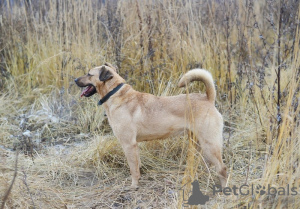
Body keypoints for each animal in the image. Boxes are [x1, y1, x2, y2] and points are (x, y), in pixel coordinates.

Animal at [75, 62, 227, 189]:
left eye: (89, 74)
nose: (75, 80)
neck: (116, 93)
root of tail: (208, 99)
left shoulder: (128, 144)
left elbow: (133, 169)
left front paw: (134, 186)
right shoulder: (134, 145)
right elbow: (137, 165)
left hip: (210, 144)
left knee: (222, 169)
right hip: (197, 143)